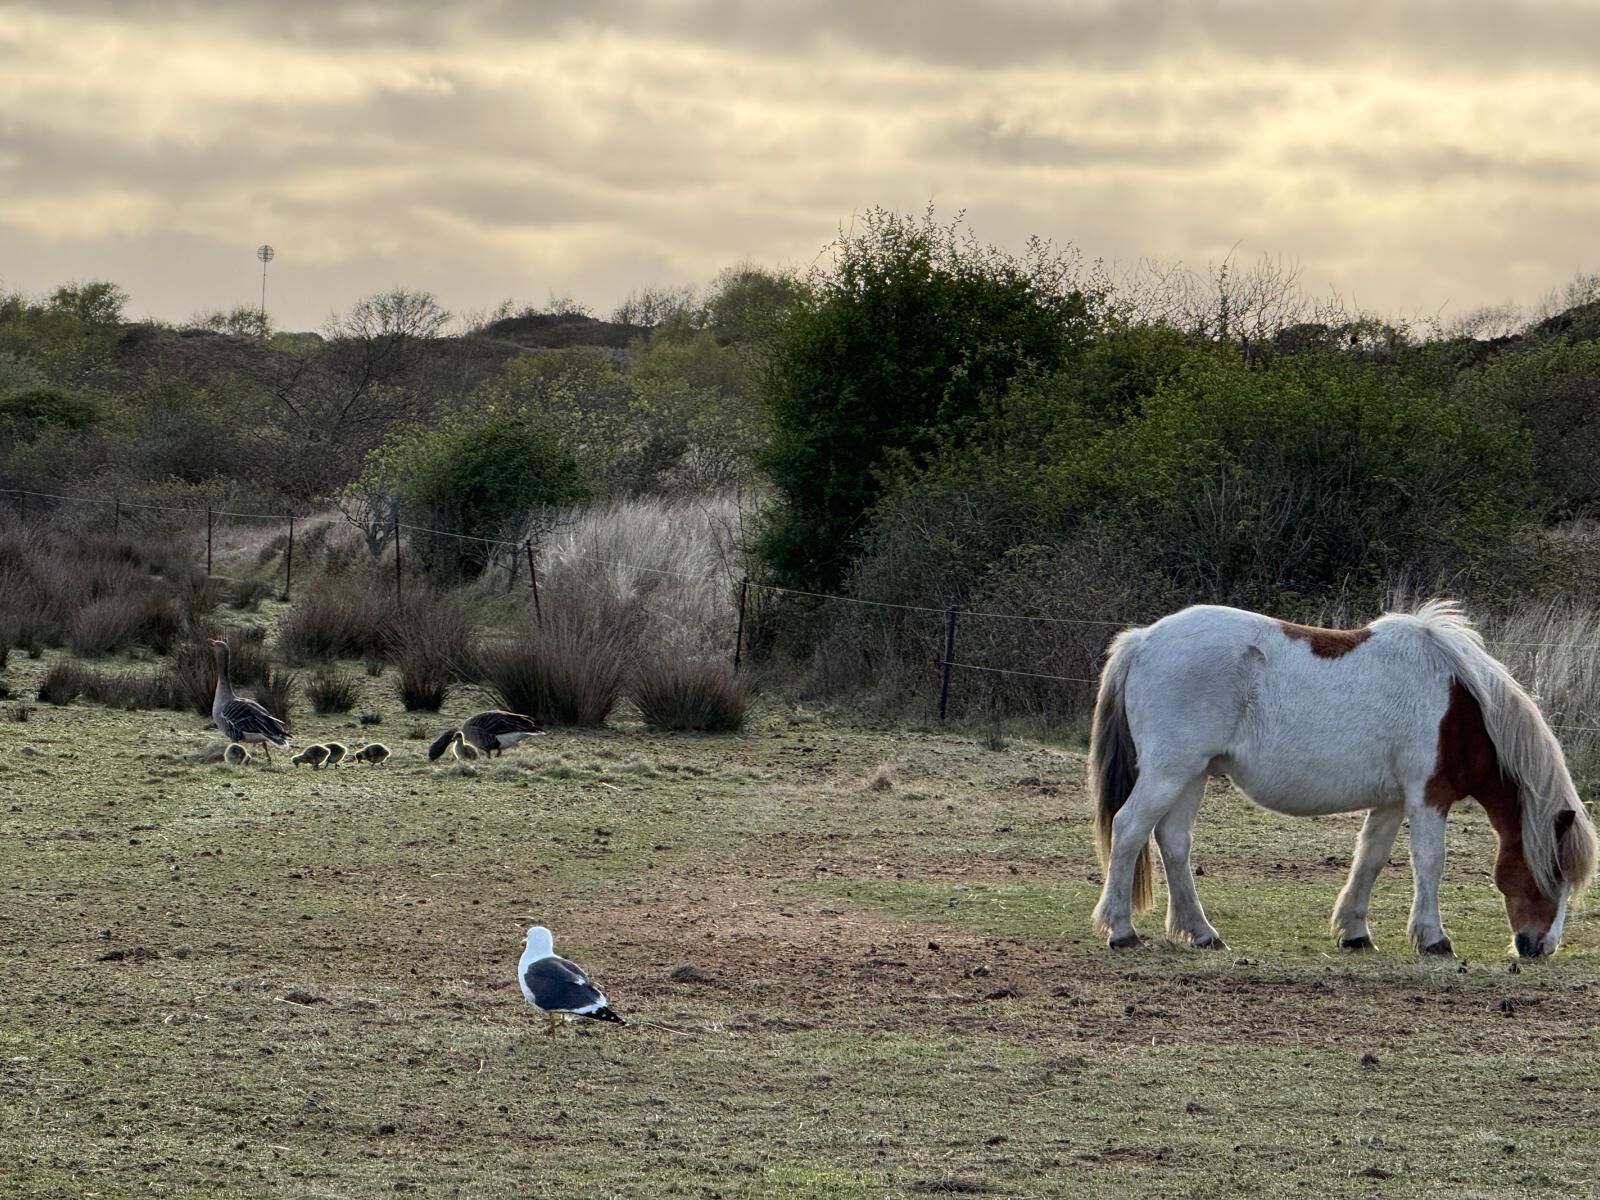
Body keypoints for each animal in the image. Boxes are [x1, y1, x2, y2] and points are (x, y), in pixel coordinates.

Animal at [1088, 600, 1597, 957]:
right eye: (1554, 873)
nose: (1541, 947)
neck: (1462, 706)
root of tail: (1143, 640)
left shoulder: (1393, 801)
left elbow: (1370, 859)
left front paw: (1355, 932)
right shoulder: (1428, 796)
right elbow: (1430, 862)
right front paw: (1433, 938)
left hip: (1190, 775)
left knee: (1173, 843)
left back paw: (1202, 933)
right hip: (1169, 772)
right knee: (1129, 829)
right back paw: (1121, 931)